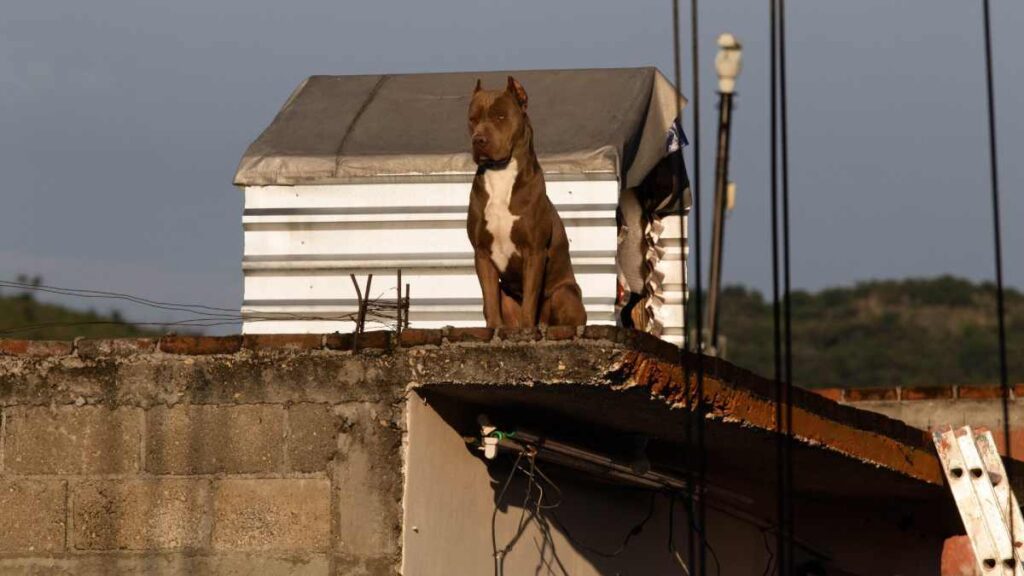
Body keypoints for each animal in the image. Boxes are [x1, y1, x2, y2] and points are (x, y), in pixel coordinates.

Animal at [464, 76, 585, 327]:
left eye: (500, 116)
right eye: (473, 119)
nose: (478, 139)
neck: (500, 173)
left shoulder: (534, 251)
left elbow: (530, 297)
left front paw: (528, 328)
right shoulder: (482, 253)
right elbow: (490, 300)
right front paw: (494, 329)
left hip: (564, 293)